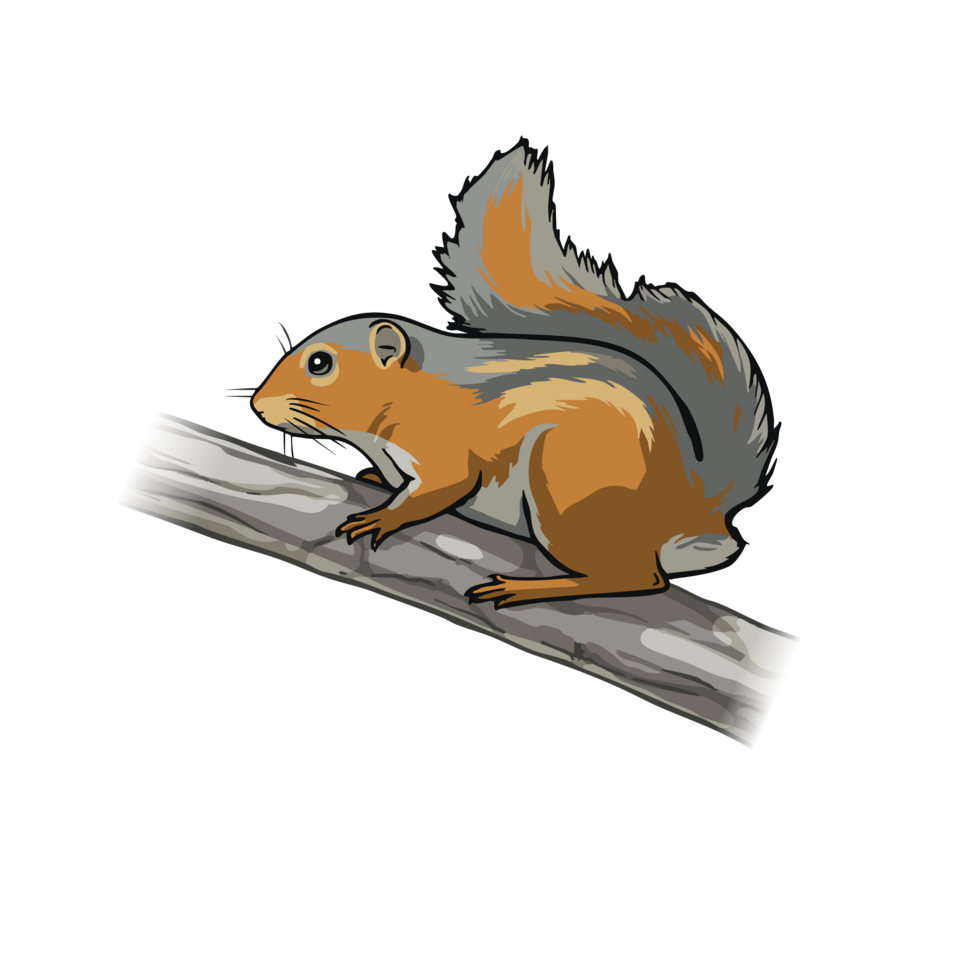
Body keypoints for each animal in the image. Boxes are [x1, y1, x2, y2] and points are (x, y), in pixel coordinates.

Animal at [252, 143, 776, 609]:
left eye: (320, 364)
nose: (257, 405)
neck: (412, 392)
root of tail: (686, 511)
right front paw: (376, 481)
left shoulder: (446, 450)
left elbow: (445, 487)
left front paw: (381, 518)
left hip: (565, 489)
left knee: (639, 578)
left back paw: (529, 589)